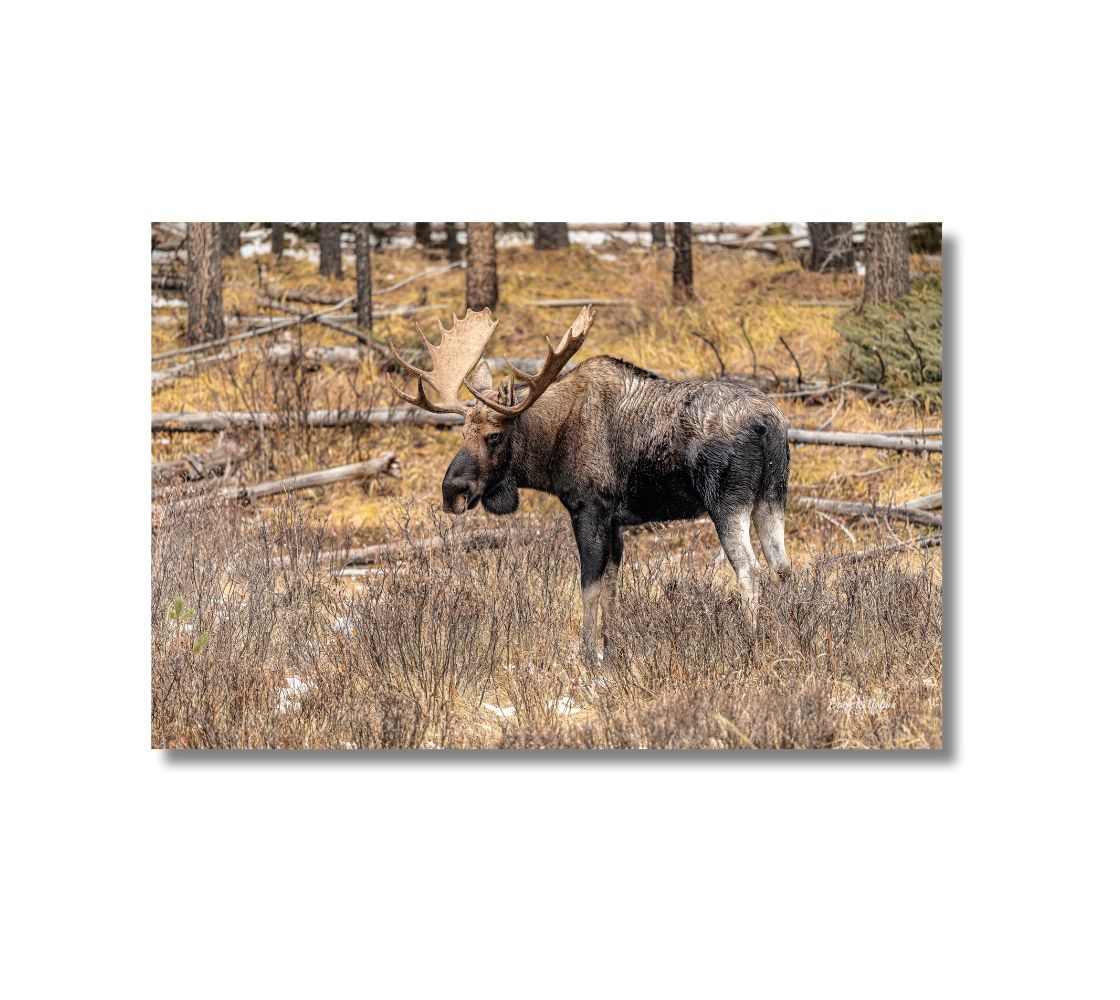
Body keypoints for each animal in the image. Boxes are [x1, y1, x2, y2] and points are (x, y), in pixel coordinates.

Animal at [389, 309, 792, 658]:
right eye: (462, 433)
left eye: (493, 436)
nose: (451, 492)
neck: (549, 450)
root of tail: (768, 422)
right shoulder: (615, 521)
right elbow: (611, 586)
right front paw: (611, 649)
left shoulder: (589, 508)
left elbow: (589, 585)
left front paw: (587, 654)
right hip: (772, 496)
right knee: (782, 567)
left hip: (727, 502)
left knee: (750, 569)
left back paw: (749, 643)